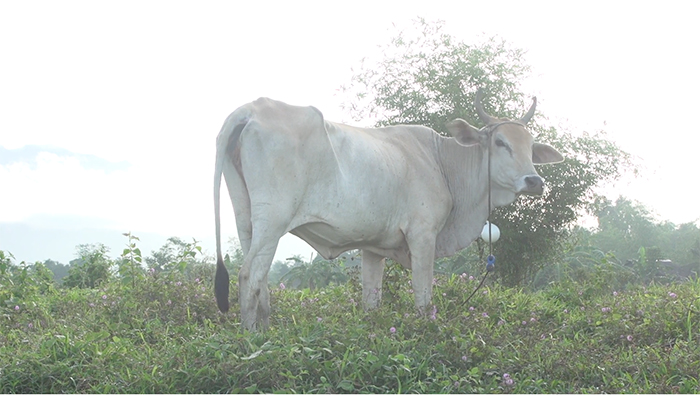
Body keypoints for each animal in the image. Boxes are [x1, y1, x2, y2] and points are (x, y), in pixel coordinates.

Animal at [212, 91, 564, 330]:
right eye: (500, 142)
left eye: (530, 146)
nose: (534, 180)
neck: (443, 160)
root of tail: (250, 111)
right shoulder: (423, 235)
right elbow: (423, 295)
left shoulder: (373, 247)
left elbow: (372, 300)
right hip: (273, 220)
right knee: (249, 275)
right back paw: (255, 341)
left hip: (246, 220)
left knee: (260, 278)